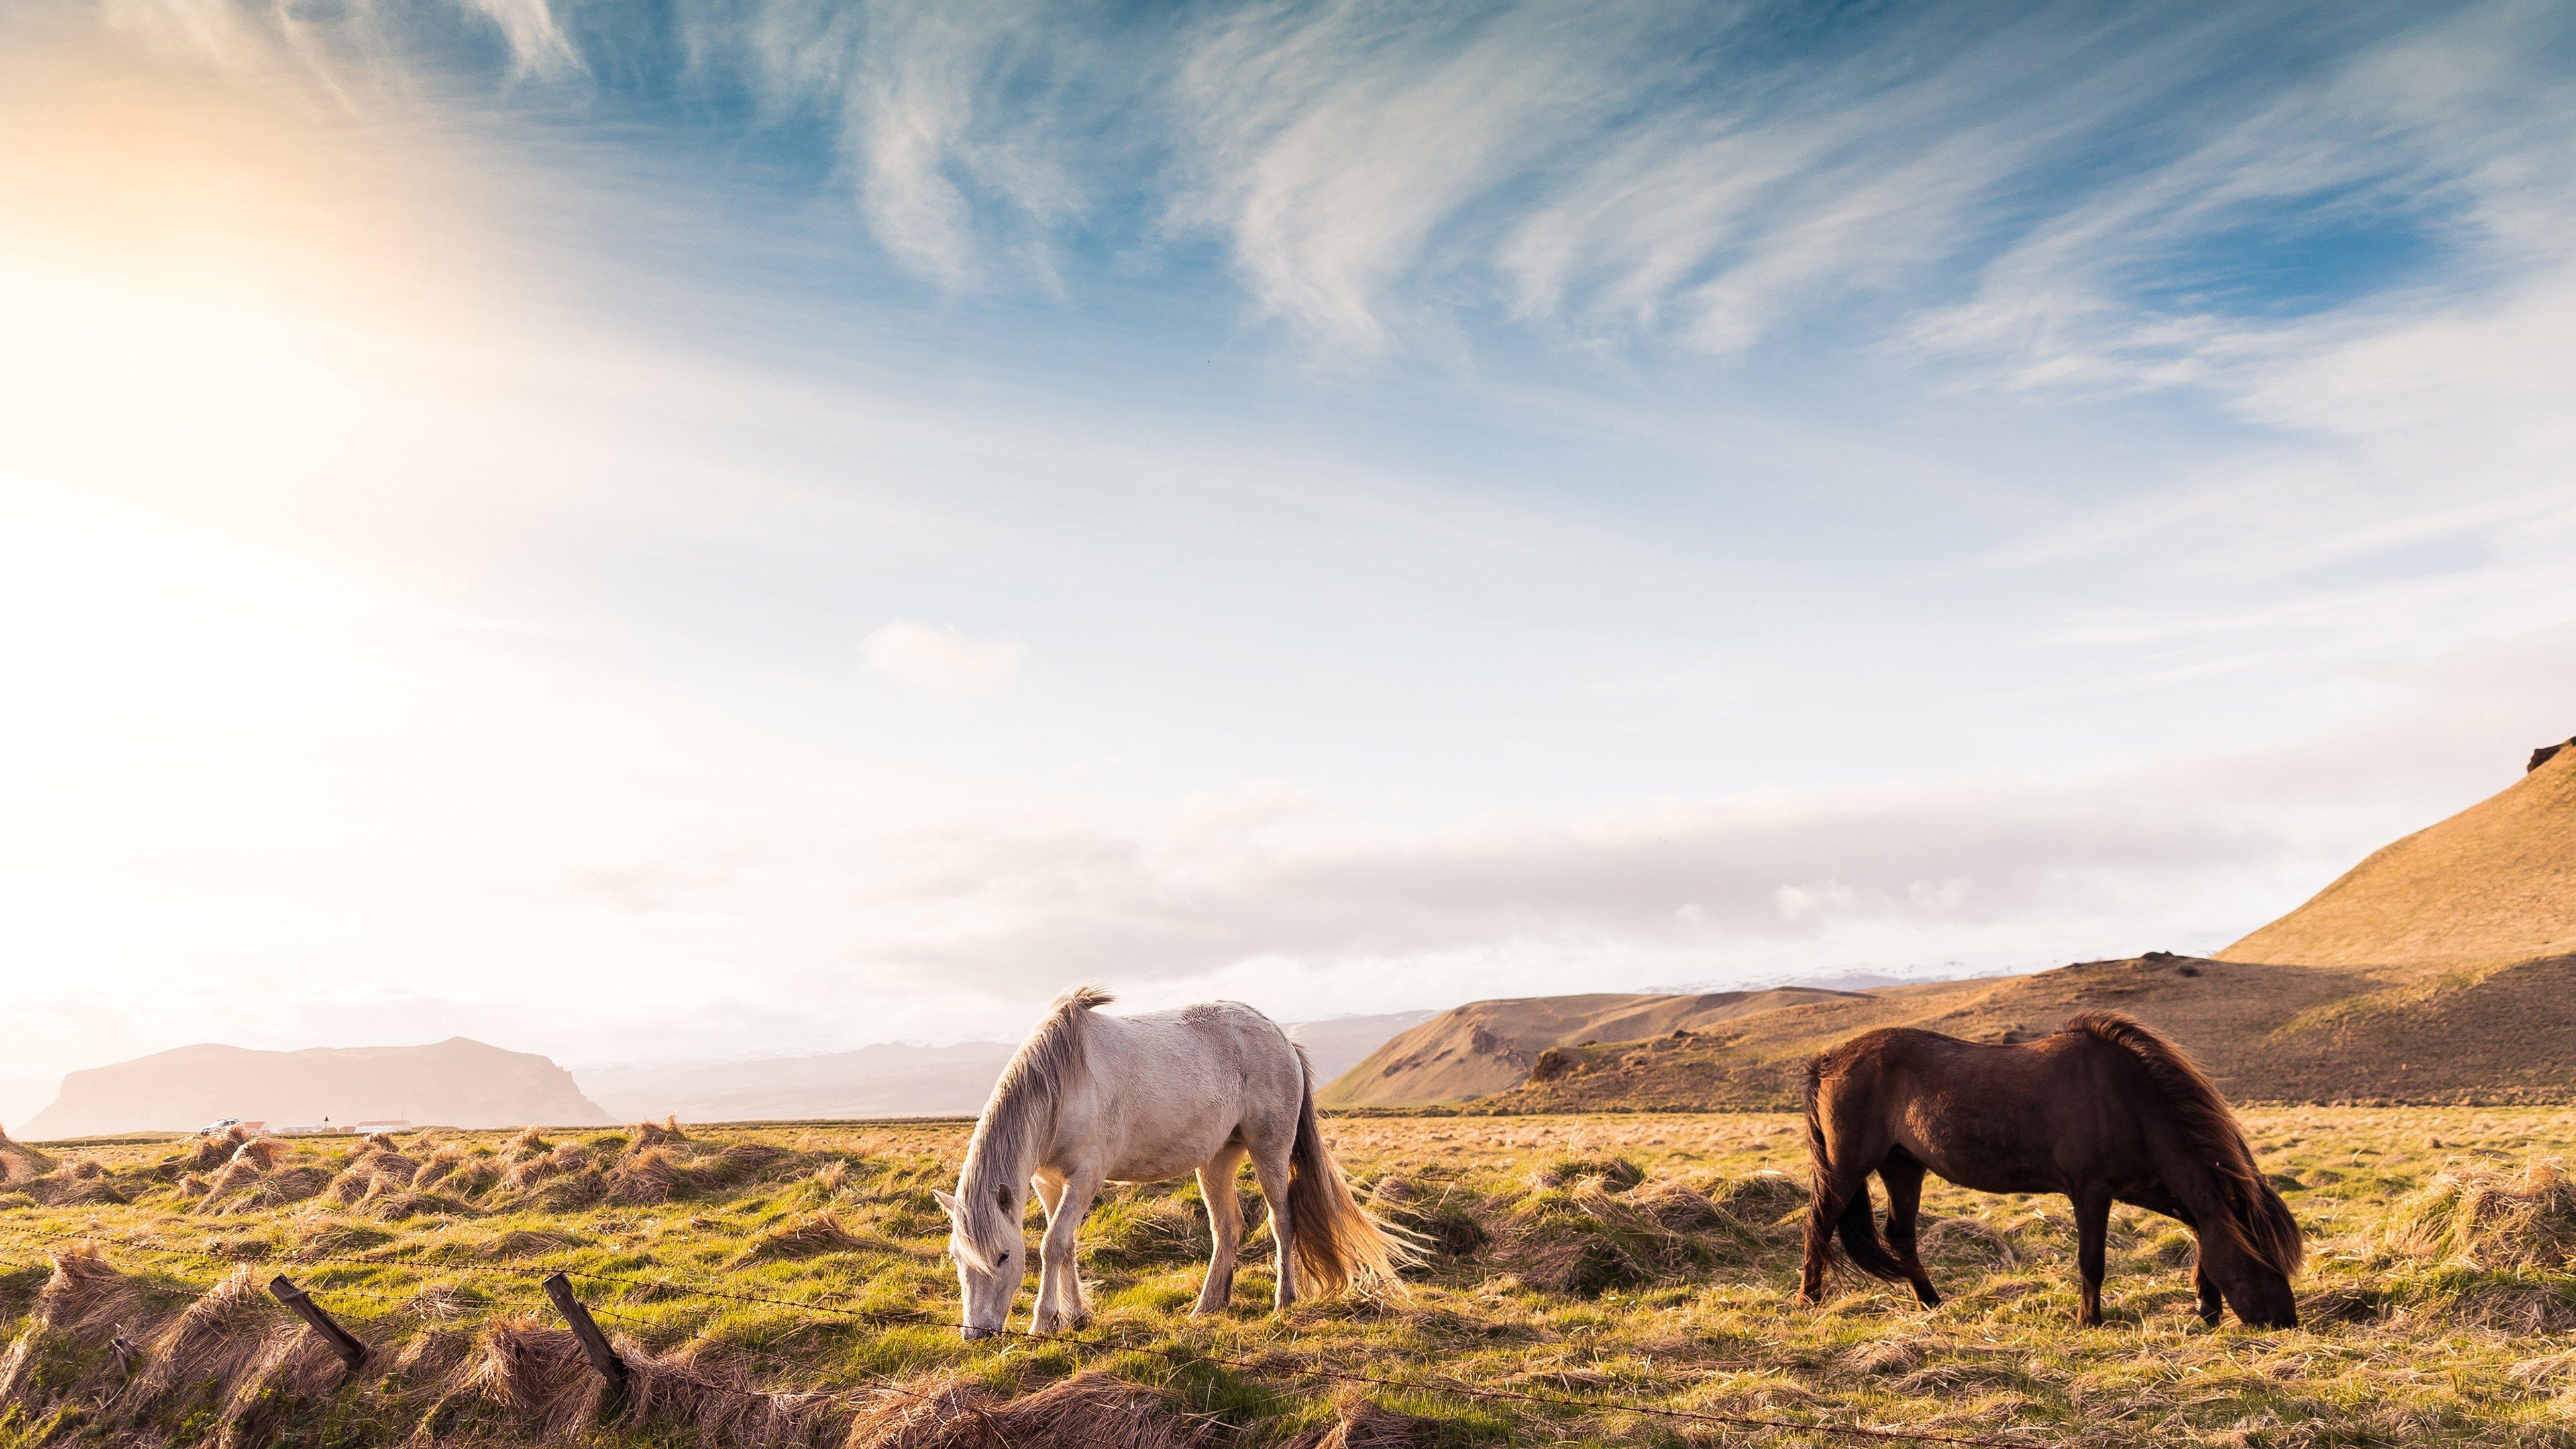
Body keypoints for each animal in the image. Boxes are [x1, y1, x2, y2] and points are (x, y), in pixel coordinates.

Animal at [937, 979, 1411, 1330]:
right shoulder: (1047, 1180)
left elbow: (1053, 1244)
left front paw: (1044, 1322)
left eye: (1002, 1256)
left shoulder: (1086, 1176)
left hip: (1269, 1150)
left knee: (1282, 1220)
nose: (977, 1333)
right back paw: (1208, 1306)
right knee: (1227, 1227)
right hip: (1218, 1159)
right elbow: (1064, 1245)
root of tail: (1281, 1036)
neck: (1061, 1082)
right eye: (958, 1257)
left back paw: (1284, 1301)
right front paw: (1075, 1317)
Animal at [1803, 1010, 2308, 1330]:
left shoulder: (2146, 1187)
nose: (2284, 1321)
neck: (2129, 1101)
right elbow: (2092, 1262)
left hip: (1903, 1166)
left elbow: (2201, 1230)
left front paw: (2206, 1302)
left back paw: (1931, 1304)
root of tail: (1827, 1060)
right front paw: (2090, 1320)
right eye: (2261, 1254)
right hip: (1848, 1166)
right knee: (1819, 1224)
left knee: (1900, 1236)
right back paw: (1808, 1300)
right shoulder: (2091, 1191)